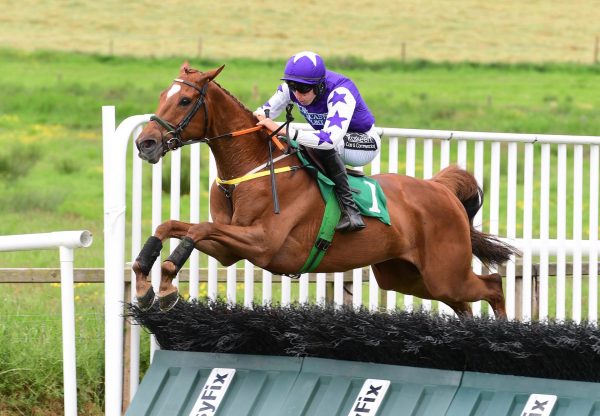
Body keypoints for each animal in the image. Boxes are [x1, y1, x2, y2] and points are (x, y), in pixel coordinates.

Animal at [131, 61, 516, 316]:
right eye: (163, 94)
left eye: (184, 101)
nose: (145, 143)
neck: (250, 170)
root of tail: (441, 190)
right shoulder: (229, 248)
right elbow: (171, 226)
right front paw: (144, 282)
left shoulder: (262, 242)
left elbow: (196, 229)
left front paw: (165, 285)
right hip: (408, 277)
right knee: (465, 304)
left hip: (444, 273)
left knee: (492, 288)